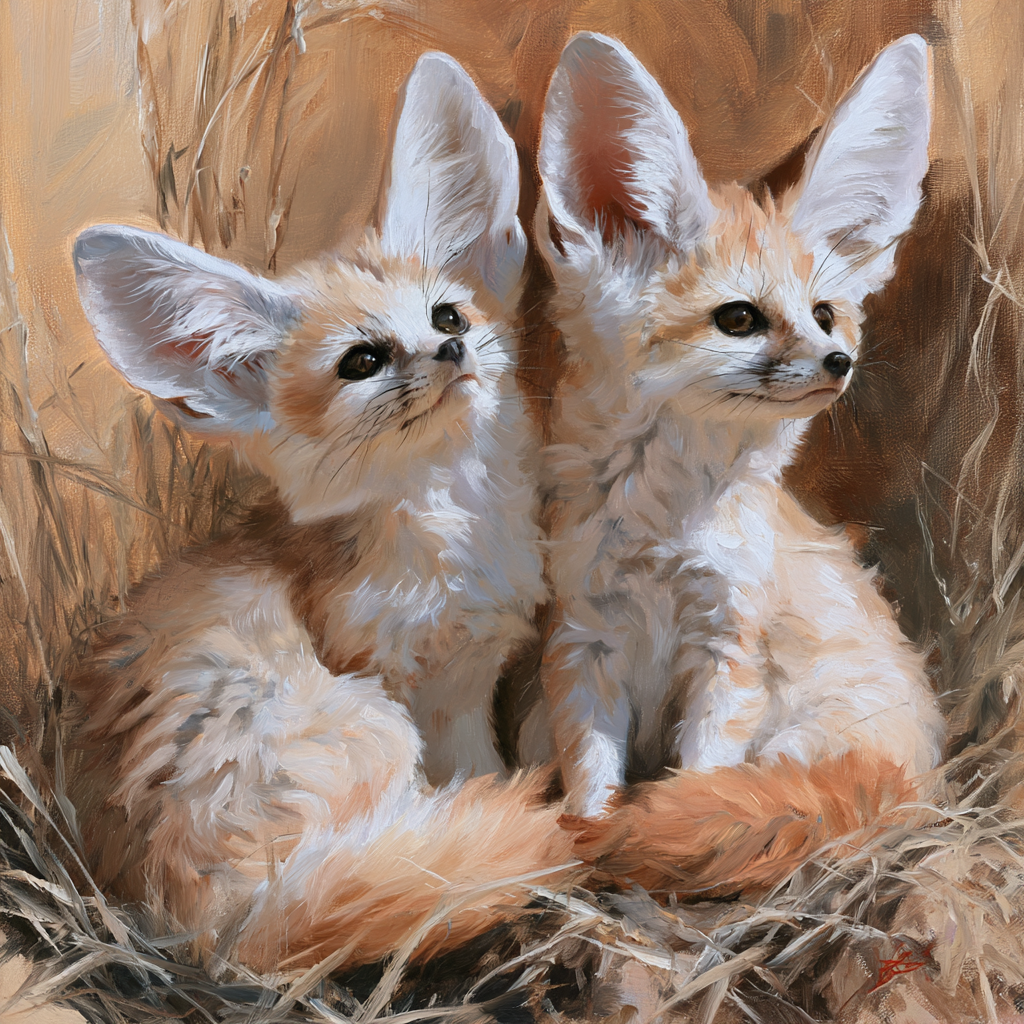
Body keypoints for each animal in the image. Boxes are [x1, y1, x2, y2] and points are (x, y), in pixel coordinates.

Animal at [66, 51, 571, 972]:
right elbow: (472, 782)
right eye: (362, 361)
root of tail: (214, 930)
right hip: (374, 726)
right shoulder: (417, 684)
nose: (452, 349)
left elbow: (480, 768)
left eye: (447, 314)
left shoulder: (470, 671)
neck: (452, 525)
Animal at [532, 32, 947, 889]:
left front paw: (639, 837)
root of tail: (915, 775)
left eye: (824, 314)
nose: (838, 362)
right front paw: (588, 833)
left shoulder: (729, 648)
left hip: (807, 731)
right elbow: (591, 773)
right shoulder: (583, 642)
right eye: (739, 320)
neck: (666, 529)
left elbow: (697, 782)